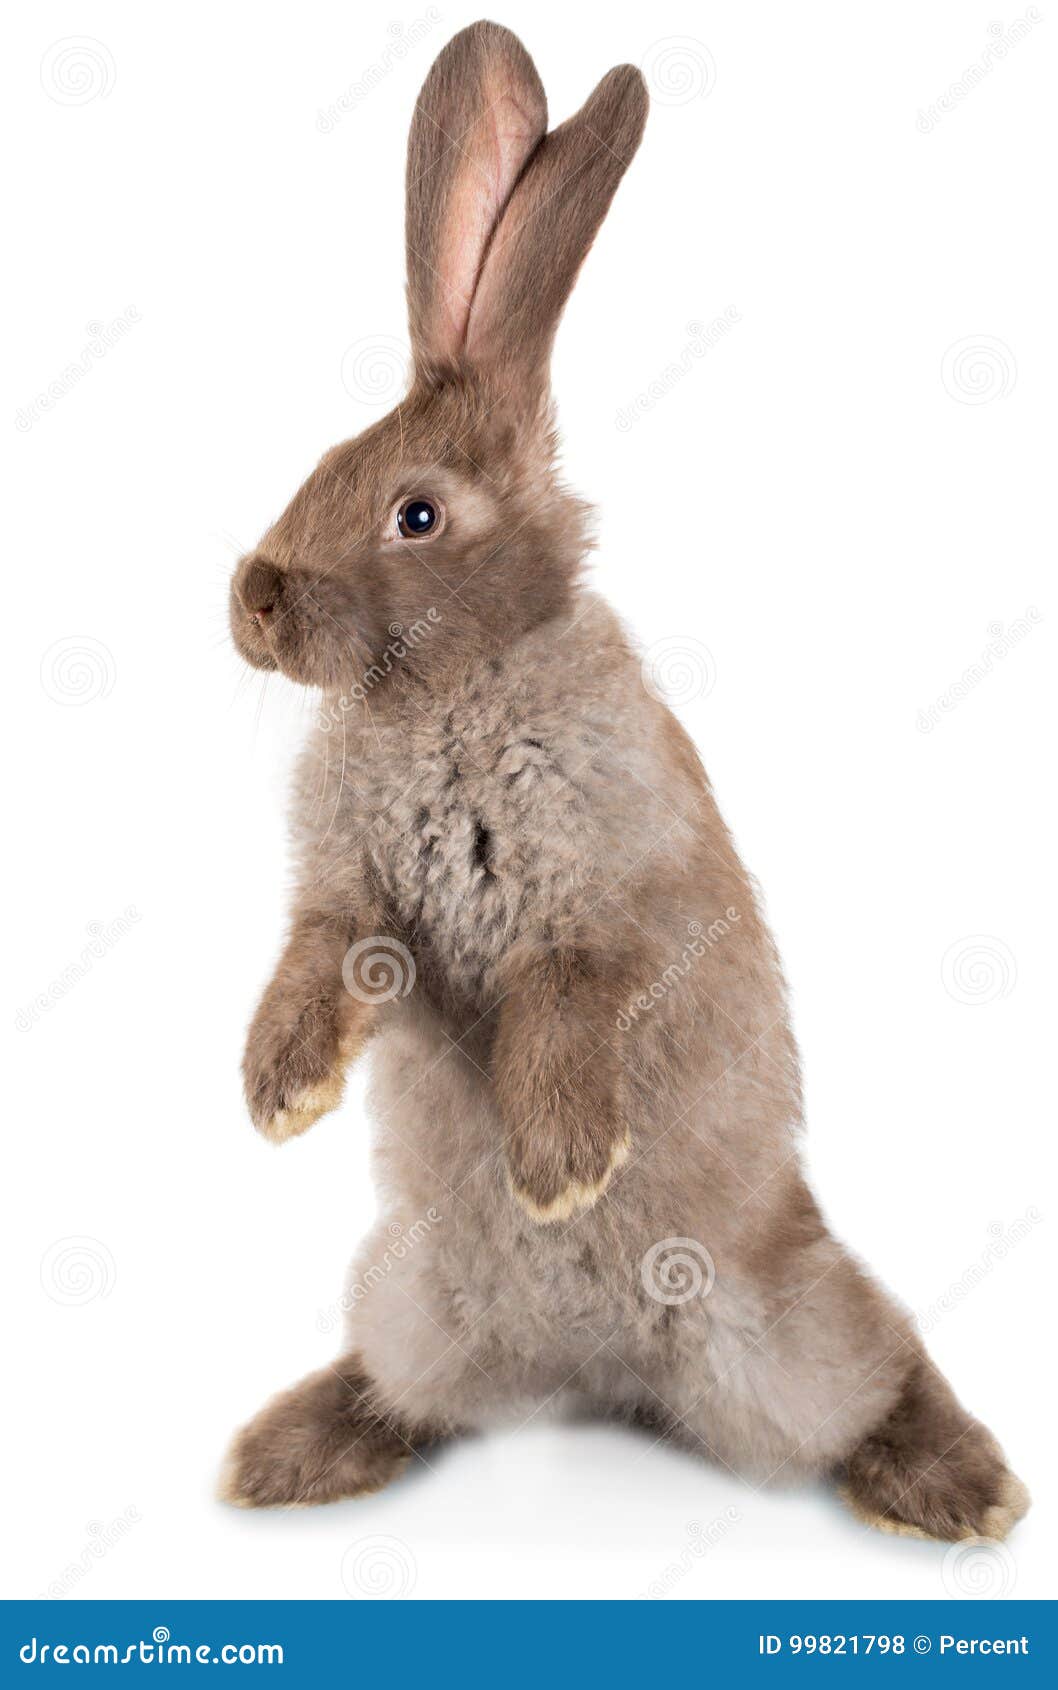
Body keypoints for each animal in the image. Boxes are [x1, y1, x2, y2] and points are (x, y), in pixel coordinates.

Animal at [219, 19, 1020, 1548]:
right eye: (322, 464)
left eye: (415, 511)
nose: (253, 600)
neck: (454, 686)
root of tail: (596, 1366)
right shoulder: (350, 905)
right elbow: (320, 960)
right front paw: (277, 1093)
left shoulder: (613, 903)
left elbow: (563, 1002)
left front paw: (558, 1165)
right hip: (412, 1303)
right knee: (403, 1388)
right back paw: (287, 1451)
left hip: (791, 1326)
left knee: (882, 1363)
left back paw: (961, 1483)